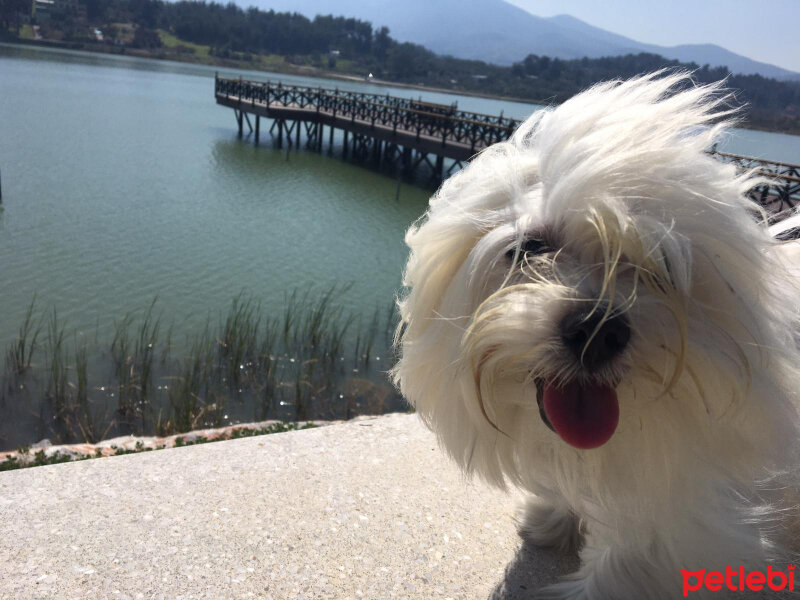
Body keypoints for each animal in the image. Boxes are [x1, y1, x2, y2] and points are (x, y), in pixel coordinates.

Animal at [394, 72, 800, 596]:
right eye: (530, 247)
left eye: (660, 264)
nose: (596, 331)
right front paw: (553, 519)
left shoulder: (690, 511)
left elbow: (629, 561)